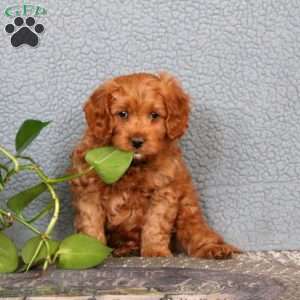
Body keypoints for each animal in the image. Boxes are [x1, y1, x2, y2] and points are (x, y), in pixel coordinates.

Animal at [69, 72, 239, 258]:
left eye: (154, 115)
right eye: (123, 114)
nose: (137, 141)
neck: (131, 164)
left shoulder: (163, 191)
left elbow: (156, 224)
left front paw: (155, 251)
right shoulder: (89, 190)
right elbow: (91, 225)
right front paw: (90, 250)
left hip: (187, 208)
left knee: (197, 232)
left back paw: (214, 248)